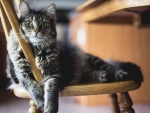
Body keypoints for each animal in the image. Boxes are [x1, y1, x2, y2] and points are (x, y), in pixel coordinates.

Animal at [5, 1, 144, 113]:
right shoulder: (22, 75)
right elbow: (33, 87)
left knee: (110, 67)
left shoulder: (55, 75)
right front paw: (40, 101)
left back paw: (119, 74)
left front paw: (50, 107)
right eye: (29, 23)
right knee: (91, 74)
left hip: (94, 61)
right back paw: (103, 76)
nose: (36, 31)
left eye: (44, 24)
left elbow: (51, 92)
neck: (36, 50)